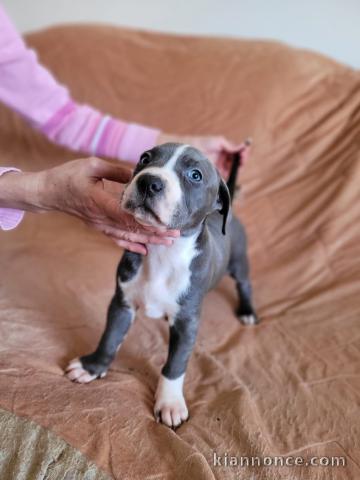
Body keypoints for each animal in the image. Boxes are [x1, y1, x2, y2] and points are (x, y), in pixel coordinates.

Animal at [66, 142, 258, 428]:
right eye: (145, 158)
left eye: (195, 175)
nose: (149, 182)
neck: (162, 253)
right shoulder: (122, 303)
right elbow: (110, 337)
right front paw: (93, 366)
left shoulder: (187, 321)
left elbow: (175, 364)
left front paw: (170, 403)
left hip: (239, 263)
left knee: (244, 284)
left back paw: (247, 310)